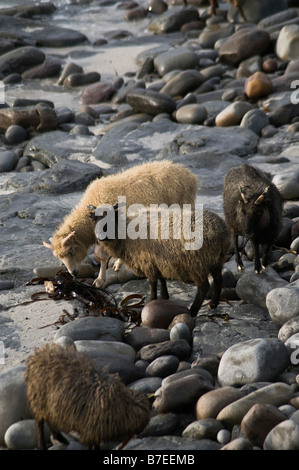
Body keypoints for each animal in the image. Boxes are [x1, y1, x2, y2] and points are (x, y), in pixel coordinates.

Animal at [43, 161, 198, 286]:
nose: (73, 273)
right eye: (59, 257)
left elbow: (104, 256)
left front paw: (100, 279)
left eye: (71, 250)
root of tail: (189, 174)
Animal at [90, 204, 231, 314]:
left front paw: (152, 300)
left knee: (204, 287)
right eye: (95, 219)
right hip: (216, 260)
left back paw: (193, 311)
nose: (99, 235)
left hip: (197, 263)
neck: (125, 229)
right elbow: (162, 279)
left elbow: (153, 283)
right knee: (219, 280)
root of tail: (221, 230)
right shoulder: (159, 261)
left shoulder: (147, 262)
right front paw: (164, 297)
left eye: (110, 218)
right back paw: (213, 304)